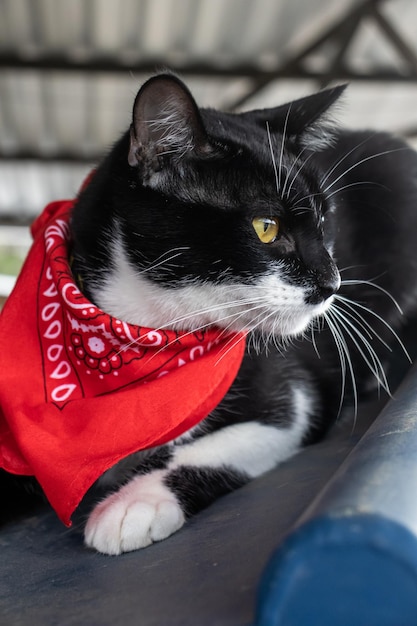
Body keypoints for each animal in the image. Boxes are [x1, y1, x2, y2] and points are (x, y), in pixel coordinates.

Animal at [4, 70, 416, 552]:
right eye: (266, 227)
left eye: (323, 221)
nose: (332, 283)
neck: (144, 333)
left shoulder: (289, 397)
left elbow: (227, 441)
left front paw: (135, 503)